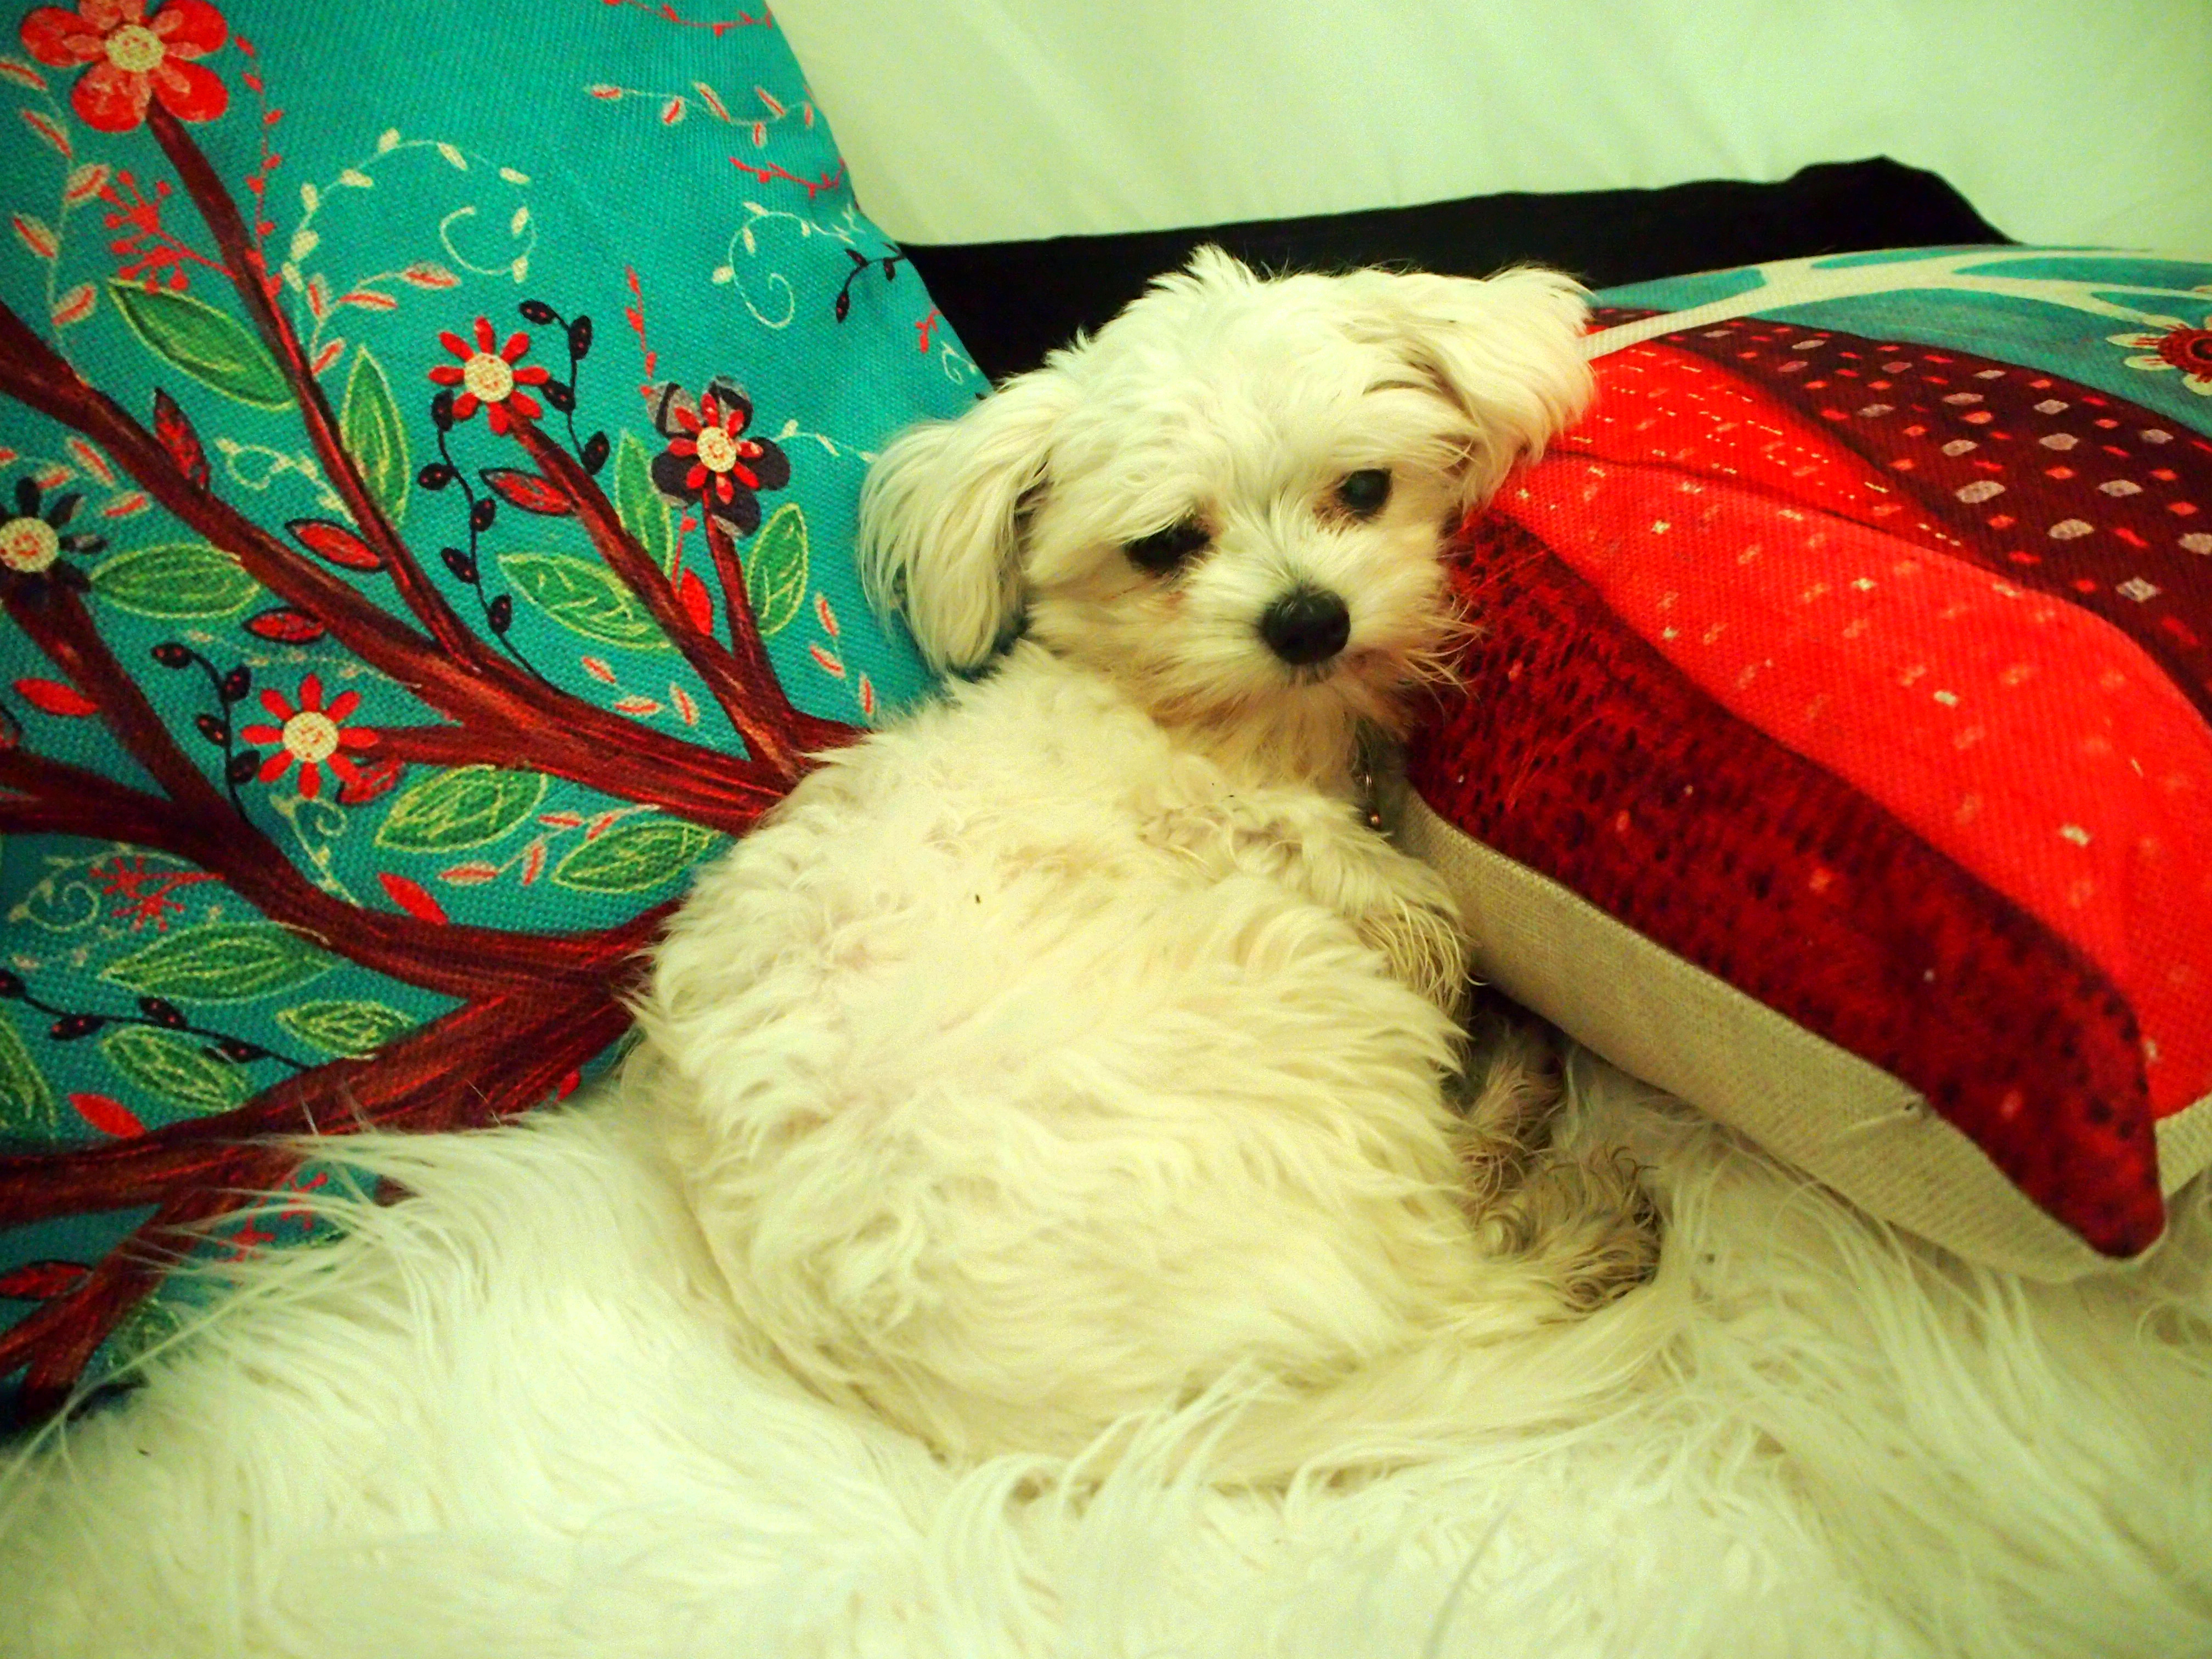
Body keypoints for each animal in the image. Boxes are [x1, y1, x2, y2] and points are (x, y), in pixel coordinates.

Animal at [629, 248, 1658, 1473]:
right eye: (1166, 545)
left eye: (1364, 488)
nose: (1309, 618)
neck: (1200, 718)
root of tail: (1119, 1423)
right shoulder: (1254, 840)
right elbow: (1391, 905)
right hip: (1302, 1004)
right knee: (1457, 1276)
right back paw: (1555, 1184)